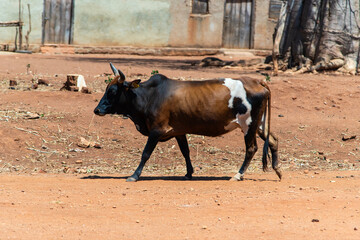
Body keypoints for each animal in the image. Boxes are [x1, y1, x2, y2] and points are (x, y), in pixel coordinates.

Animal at [93, 62, 282, 181]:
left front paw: (134, 175)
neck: (149, 96)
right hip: (259, 124)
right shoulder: (179, 131)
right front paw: (189, 173)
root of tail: (258, 81)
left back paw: (238, 174)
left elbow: (146, 153)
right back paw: (277, 170)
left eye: (113, 91)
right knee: (273, 140)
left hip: (248, 125)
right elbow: (186, 152)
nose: (97, 110)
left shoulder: (156, 131)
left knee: (251, 149)